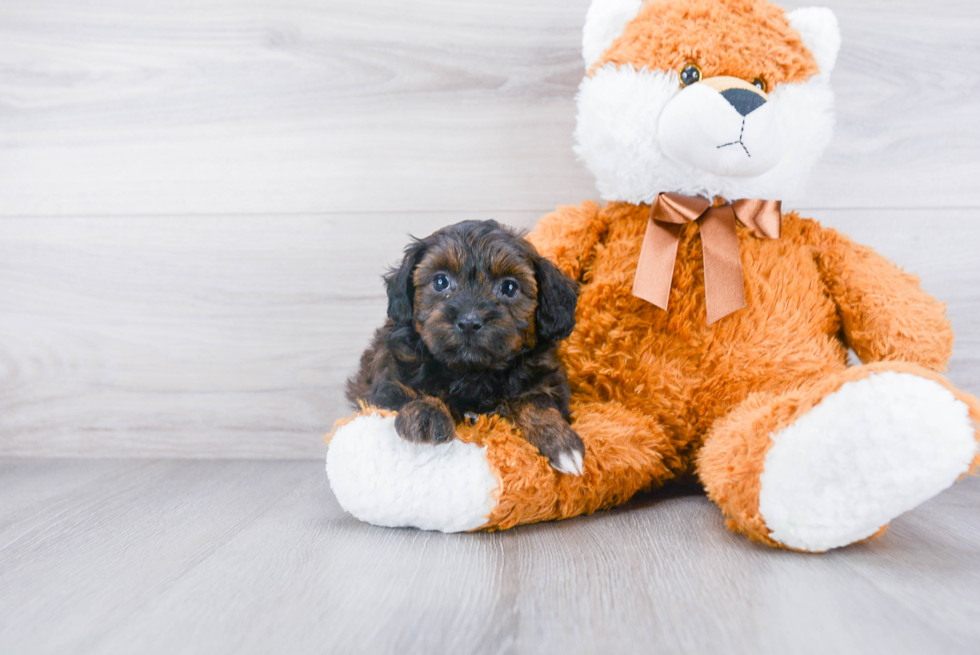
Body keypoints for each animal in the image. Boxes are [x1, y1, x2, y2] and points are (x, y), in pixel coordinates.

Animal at [348, 218, 584, 474]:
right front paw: (426, 414)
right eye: (441, 282)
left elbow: (534, 400)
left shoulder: (544, 376)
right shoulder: (390, 374)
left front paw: (560, 441)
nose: (469, 322)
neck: (472, 373)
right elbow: (415, 389)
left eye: (509, 288)